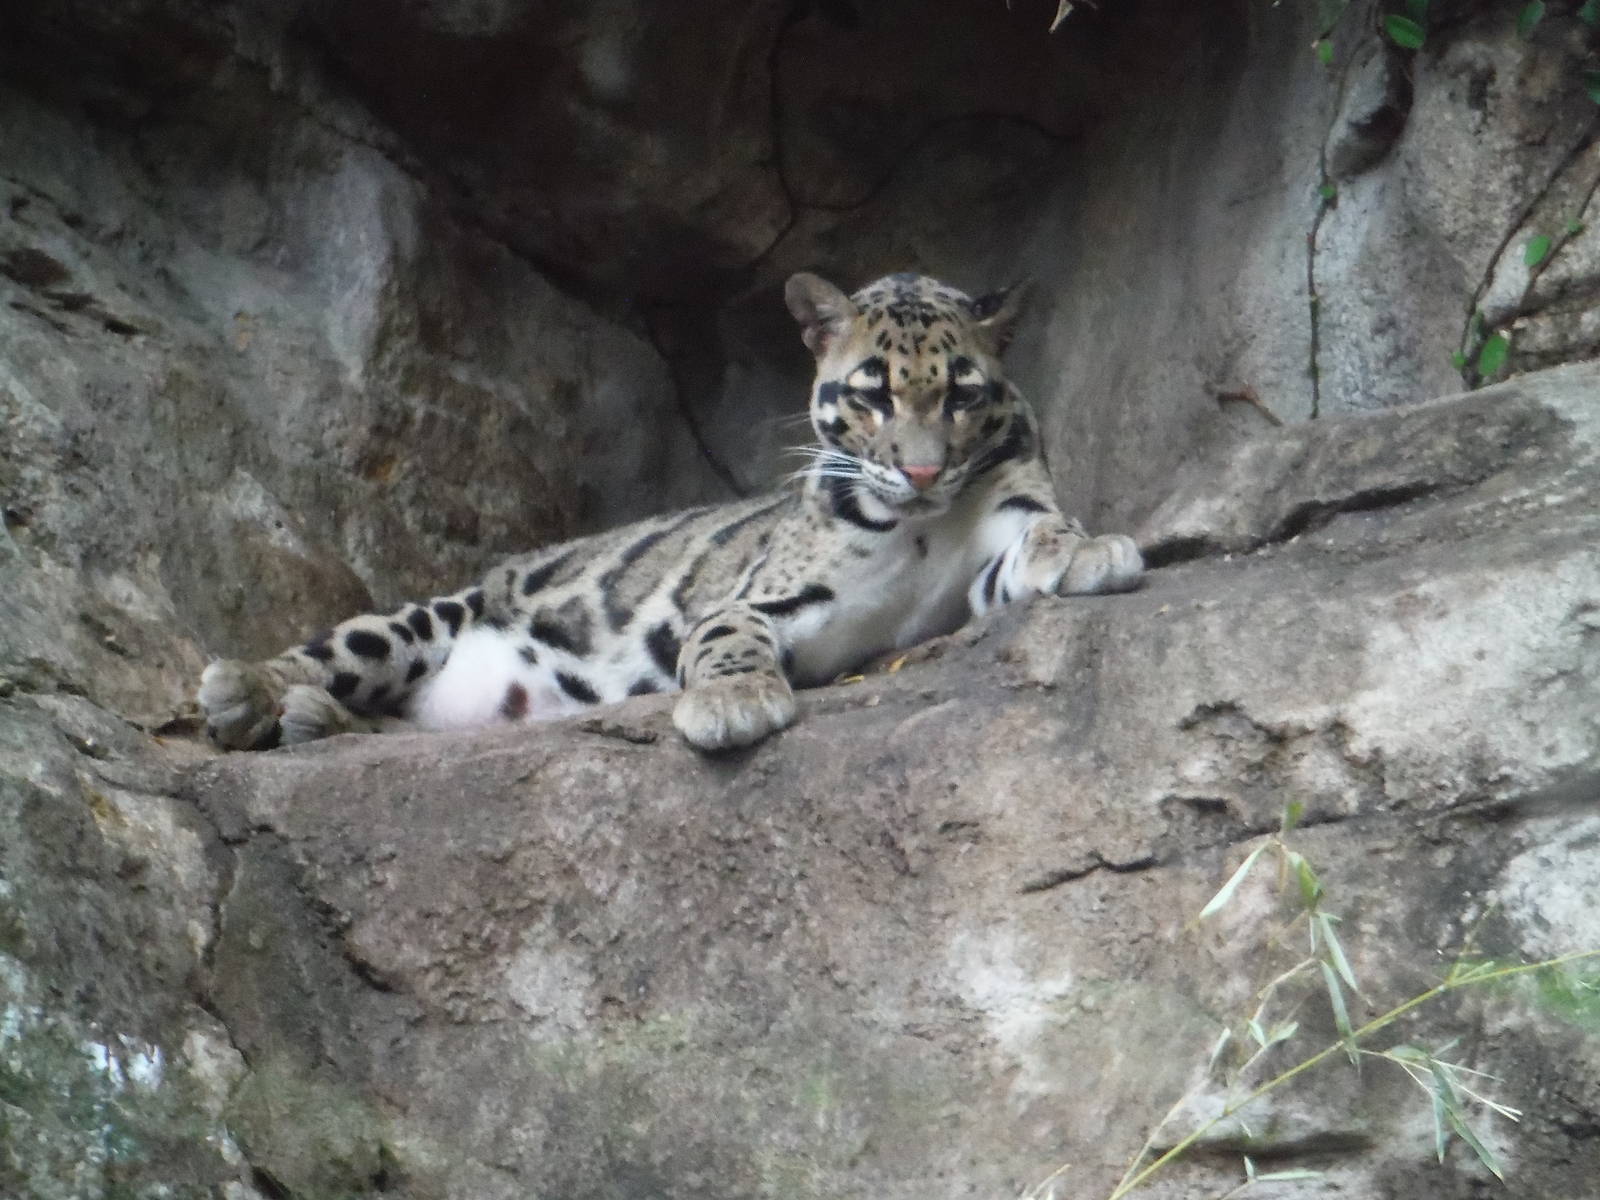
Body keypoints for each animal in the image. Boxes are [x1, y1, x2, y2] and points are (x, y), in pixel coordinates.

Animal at [198, 271, 1144, 754]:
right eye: (872, 394)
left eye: (963, 394)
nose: (919, 469)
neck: (915, 523)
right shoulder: (758, 597)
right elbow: (728, 636)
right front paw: (733, 700)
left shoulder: (988, 550)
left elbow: (1041, 535)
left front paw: (1088, 548)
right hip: (430, 615)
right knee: (348, 646)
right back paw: (253, 693)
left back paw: (316, 720)